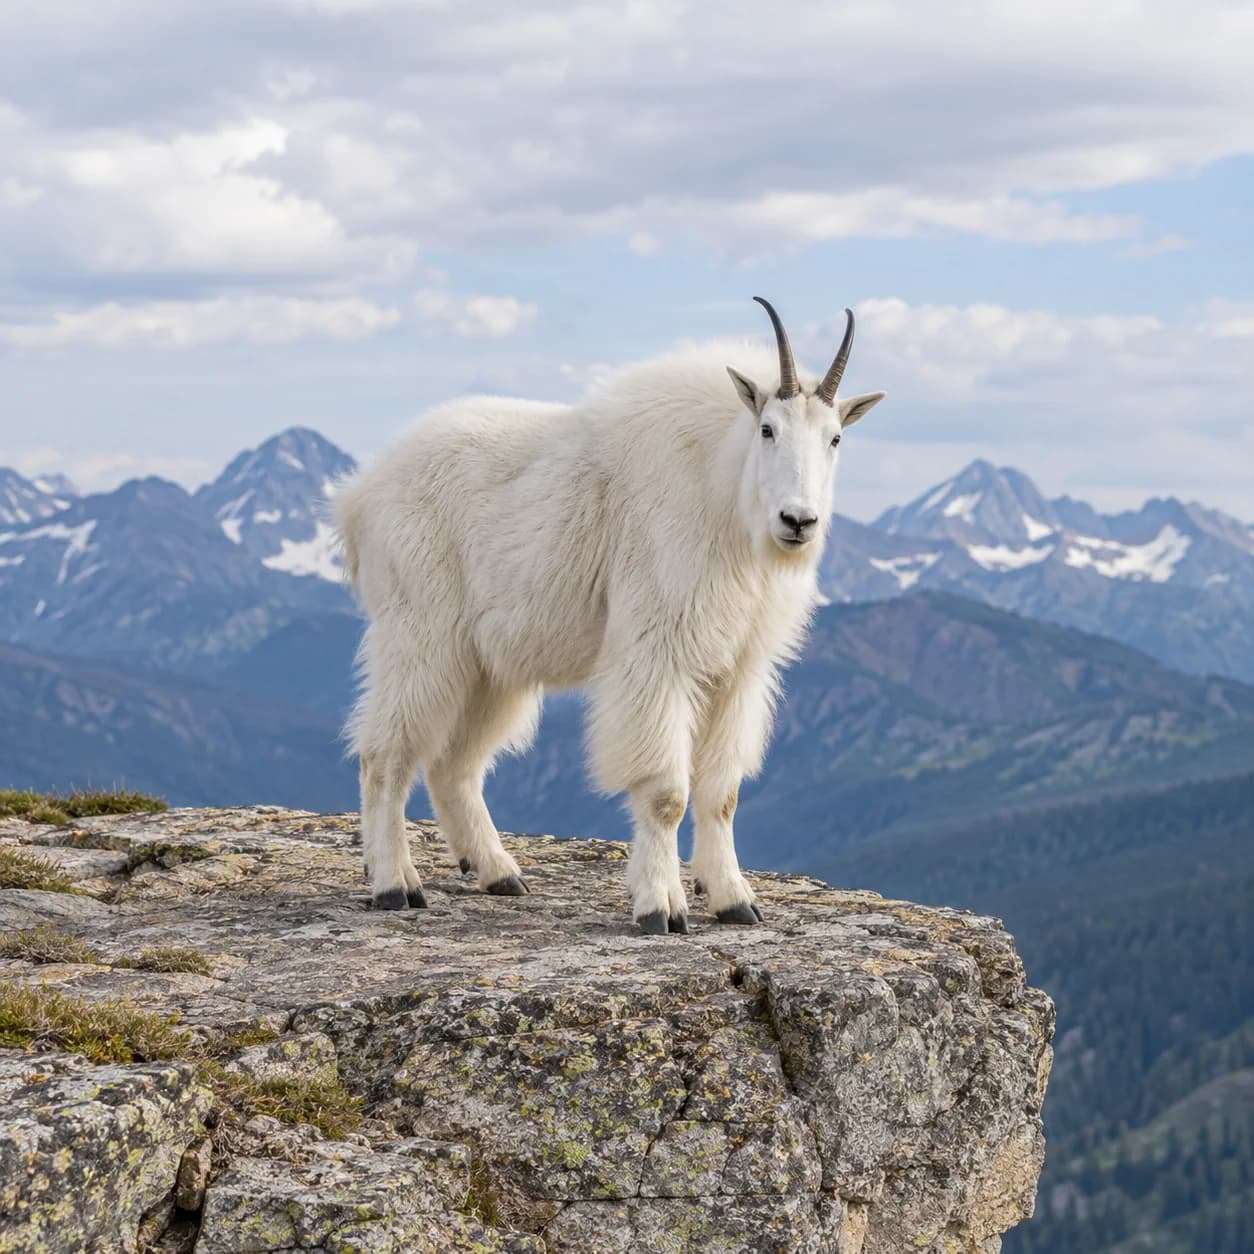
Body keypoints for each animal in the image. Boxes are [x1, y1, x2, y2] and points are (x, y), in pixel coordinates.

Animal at [334, 298, 885, 933]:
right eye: (768, 429)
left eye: (835, 438)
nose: (798, 521)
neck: (725, 496)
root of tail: (358, 496)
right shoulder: (659, 653)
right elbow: (667, 793)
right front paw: (661, 908)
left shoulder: (738, 671)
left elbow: (722, 793)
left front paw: (734, 901)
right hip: (420, 634)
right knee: (384, 754)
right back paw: (394, 883)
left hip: (490, 665)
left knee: (455, 764)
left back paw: (499, 872)